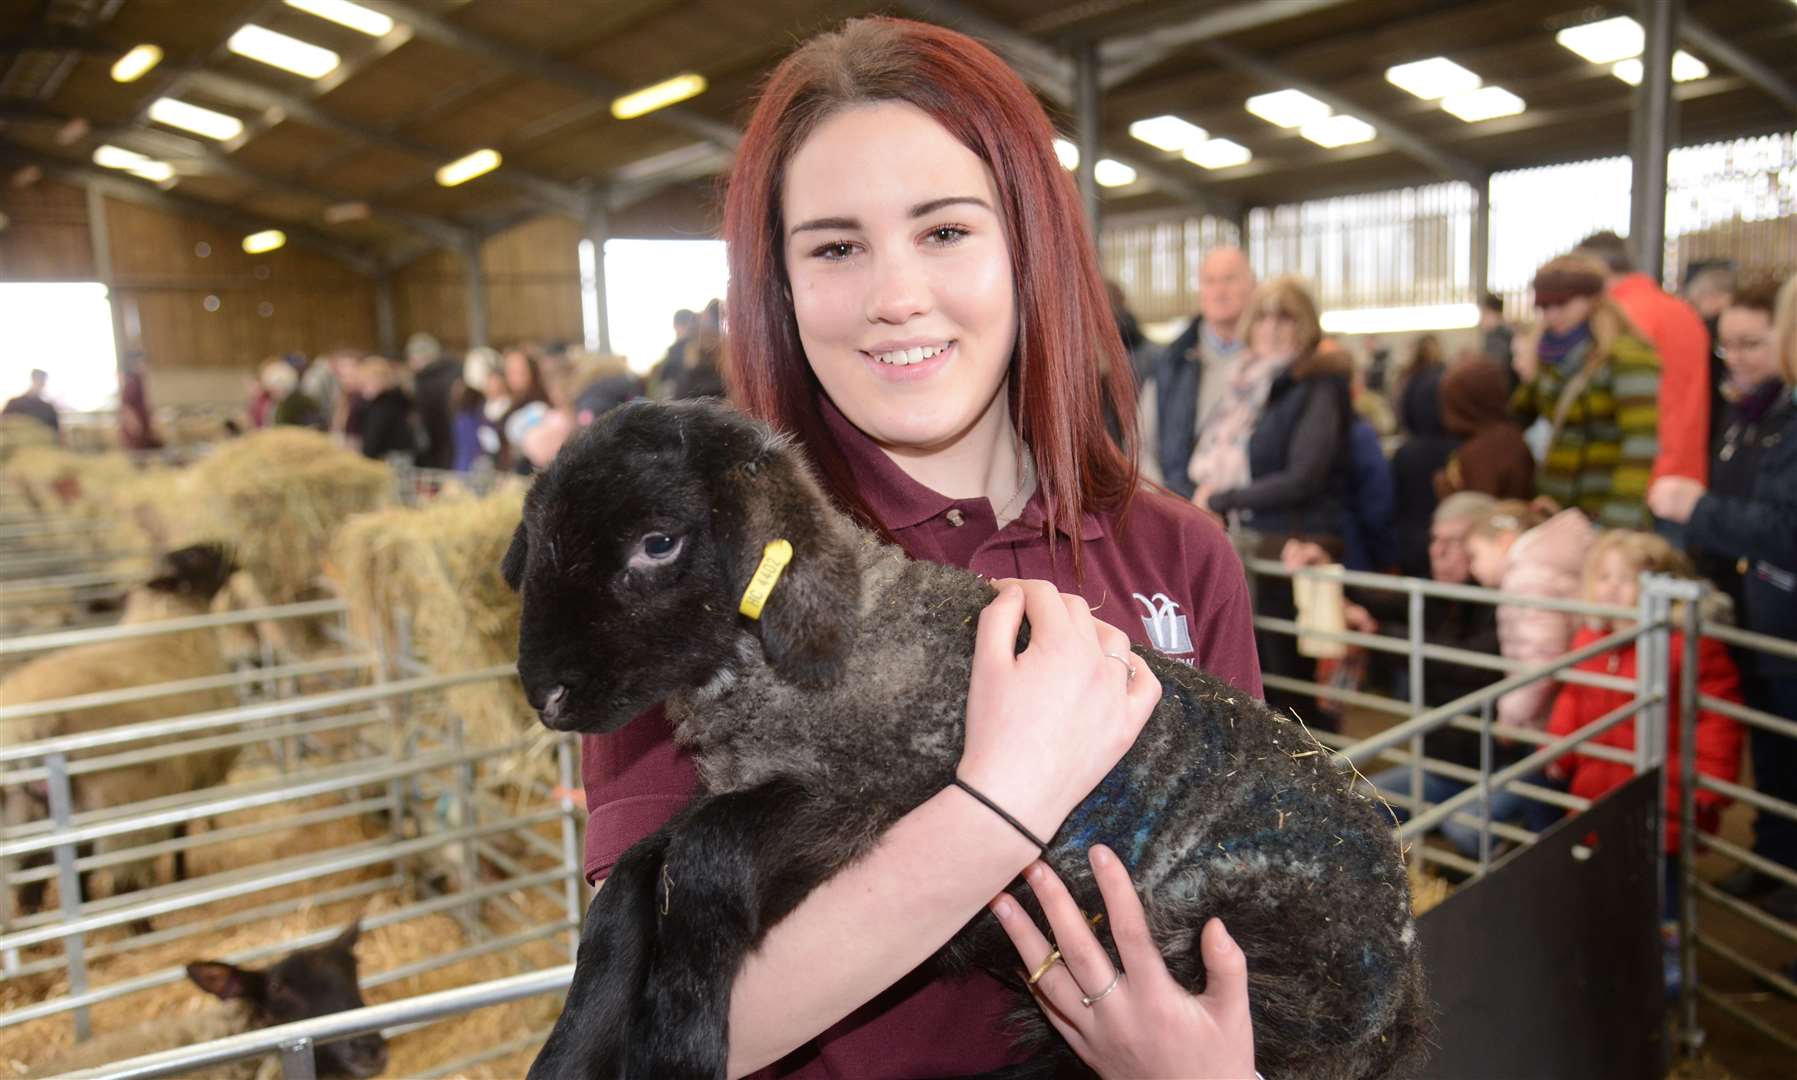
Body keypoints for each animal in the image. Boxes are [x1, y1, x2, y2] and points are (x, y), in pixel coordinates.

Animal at [510, 397, 1430, 1078]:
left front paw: (681, 1046)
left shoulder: (866, 804)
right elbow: (630, 888)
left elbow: (704, 859)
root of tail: (1402, 996)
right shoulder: (743, 787)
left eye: (657, 543)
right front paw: (569, 1054)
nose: (544, 695)